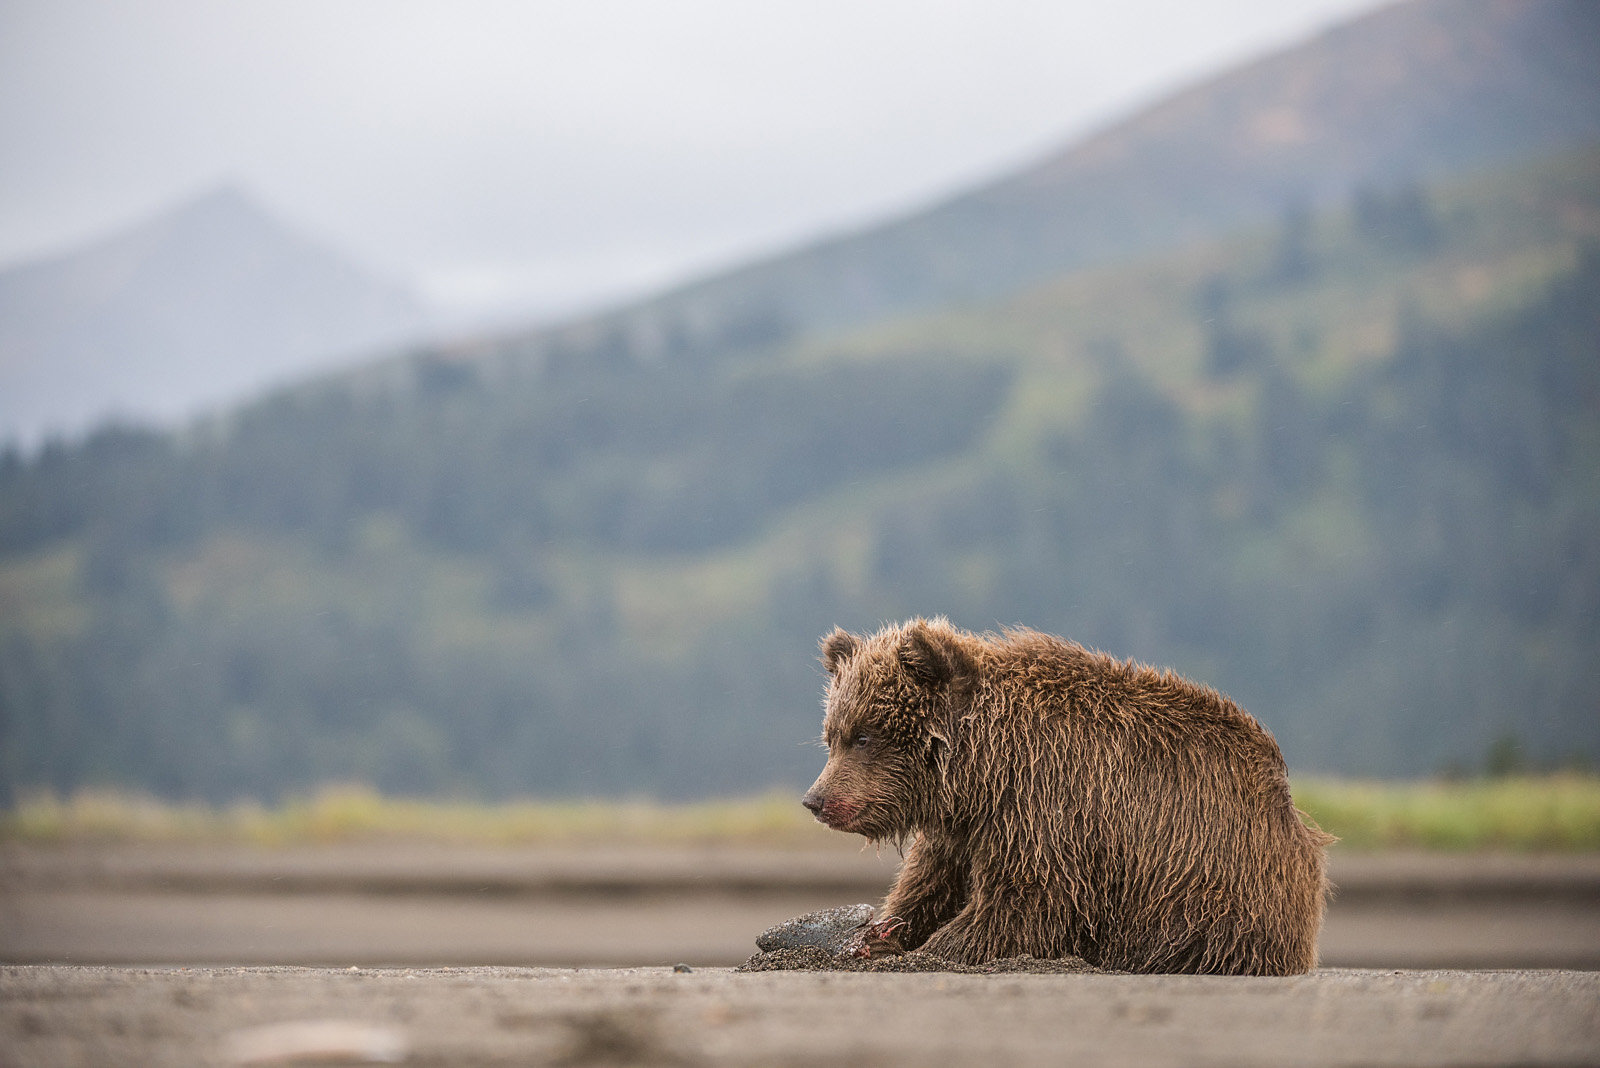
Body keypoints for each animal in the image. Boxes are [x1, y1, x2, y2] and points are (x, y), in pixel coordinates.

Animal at [801, 617, 1332, 975]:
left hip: (1207, 885)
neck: (982, 769)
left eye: (863, 735)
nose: (816, 800)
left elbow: (1027, 903)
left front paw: (929, 949)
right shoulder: (965, 827)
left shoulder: (1050, 806)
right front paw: (880, 935)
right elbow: (927, 887)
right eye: (832, 735)